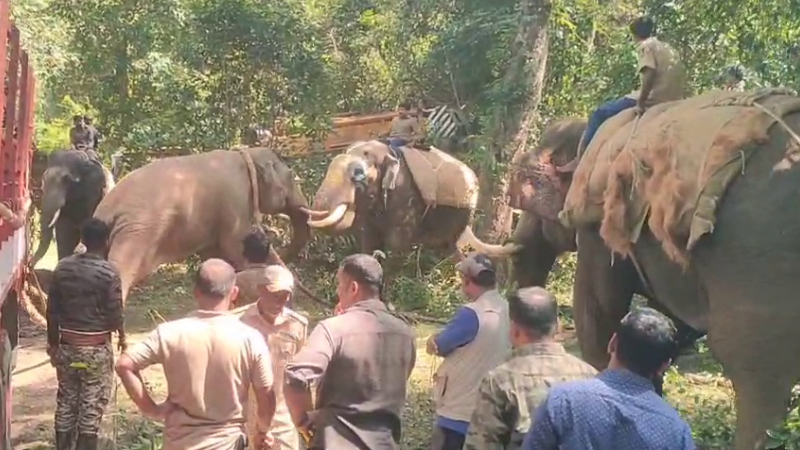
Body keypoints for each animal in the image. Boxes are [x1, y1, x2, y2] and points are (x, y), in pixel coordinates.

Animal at [93, 146, 321, 305]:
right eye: (291, 177)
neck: (246, 153)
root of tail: (107, 208)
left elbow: (215, 253)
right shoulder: (235, 199)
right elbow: (234, 245)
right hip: (135, 234)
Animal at [307, 140, 516, 257]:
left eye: (358, 175)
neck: (388, 152)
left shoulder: (406, 198)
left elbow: (396, 243)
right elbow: (369, 239)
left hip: (461, 214)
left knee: (452, 246)